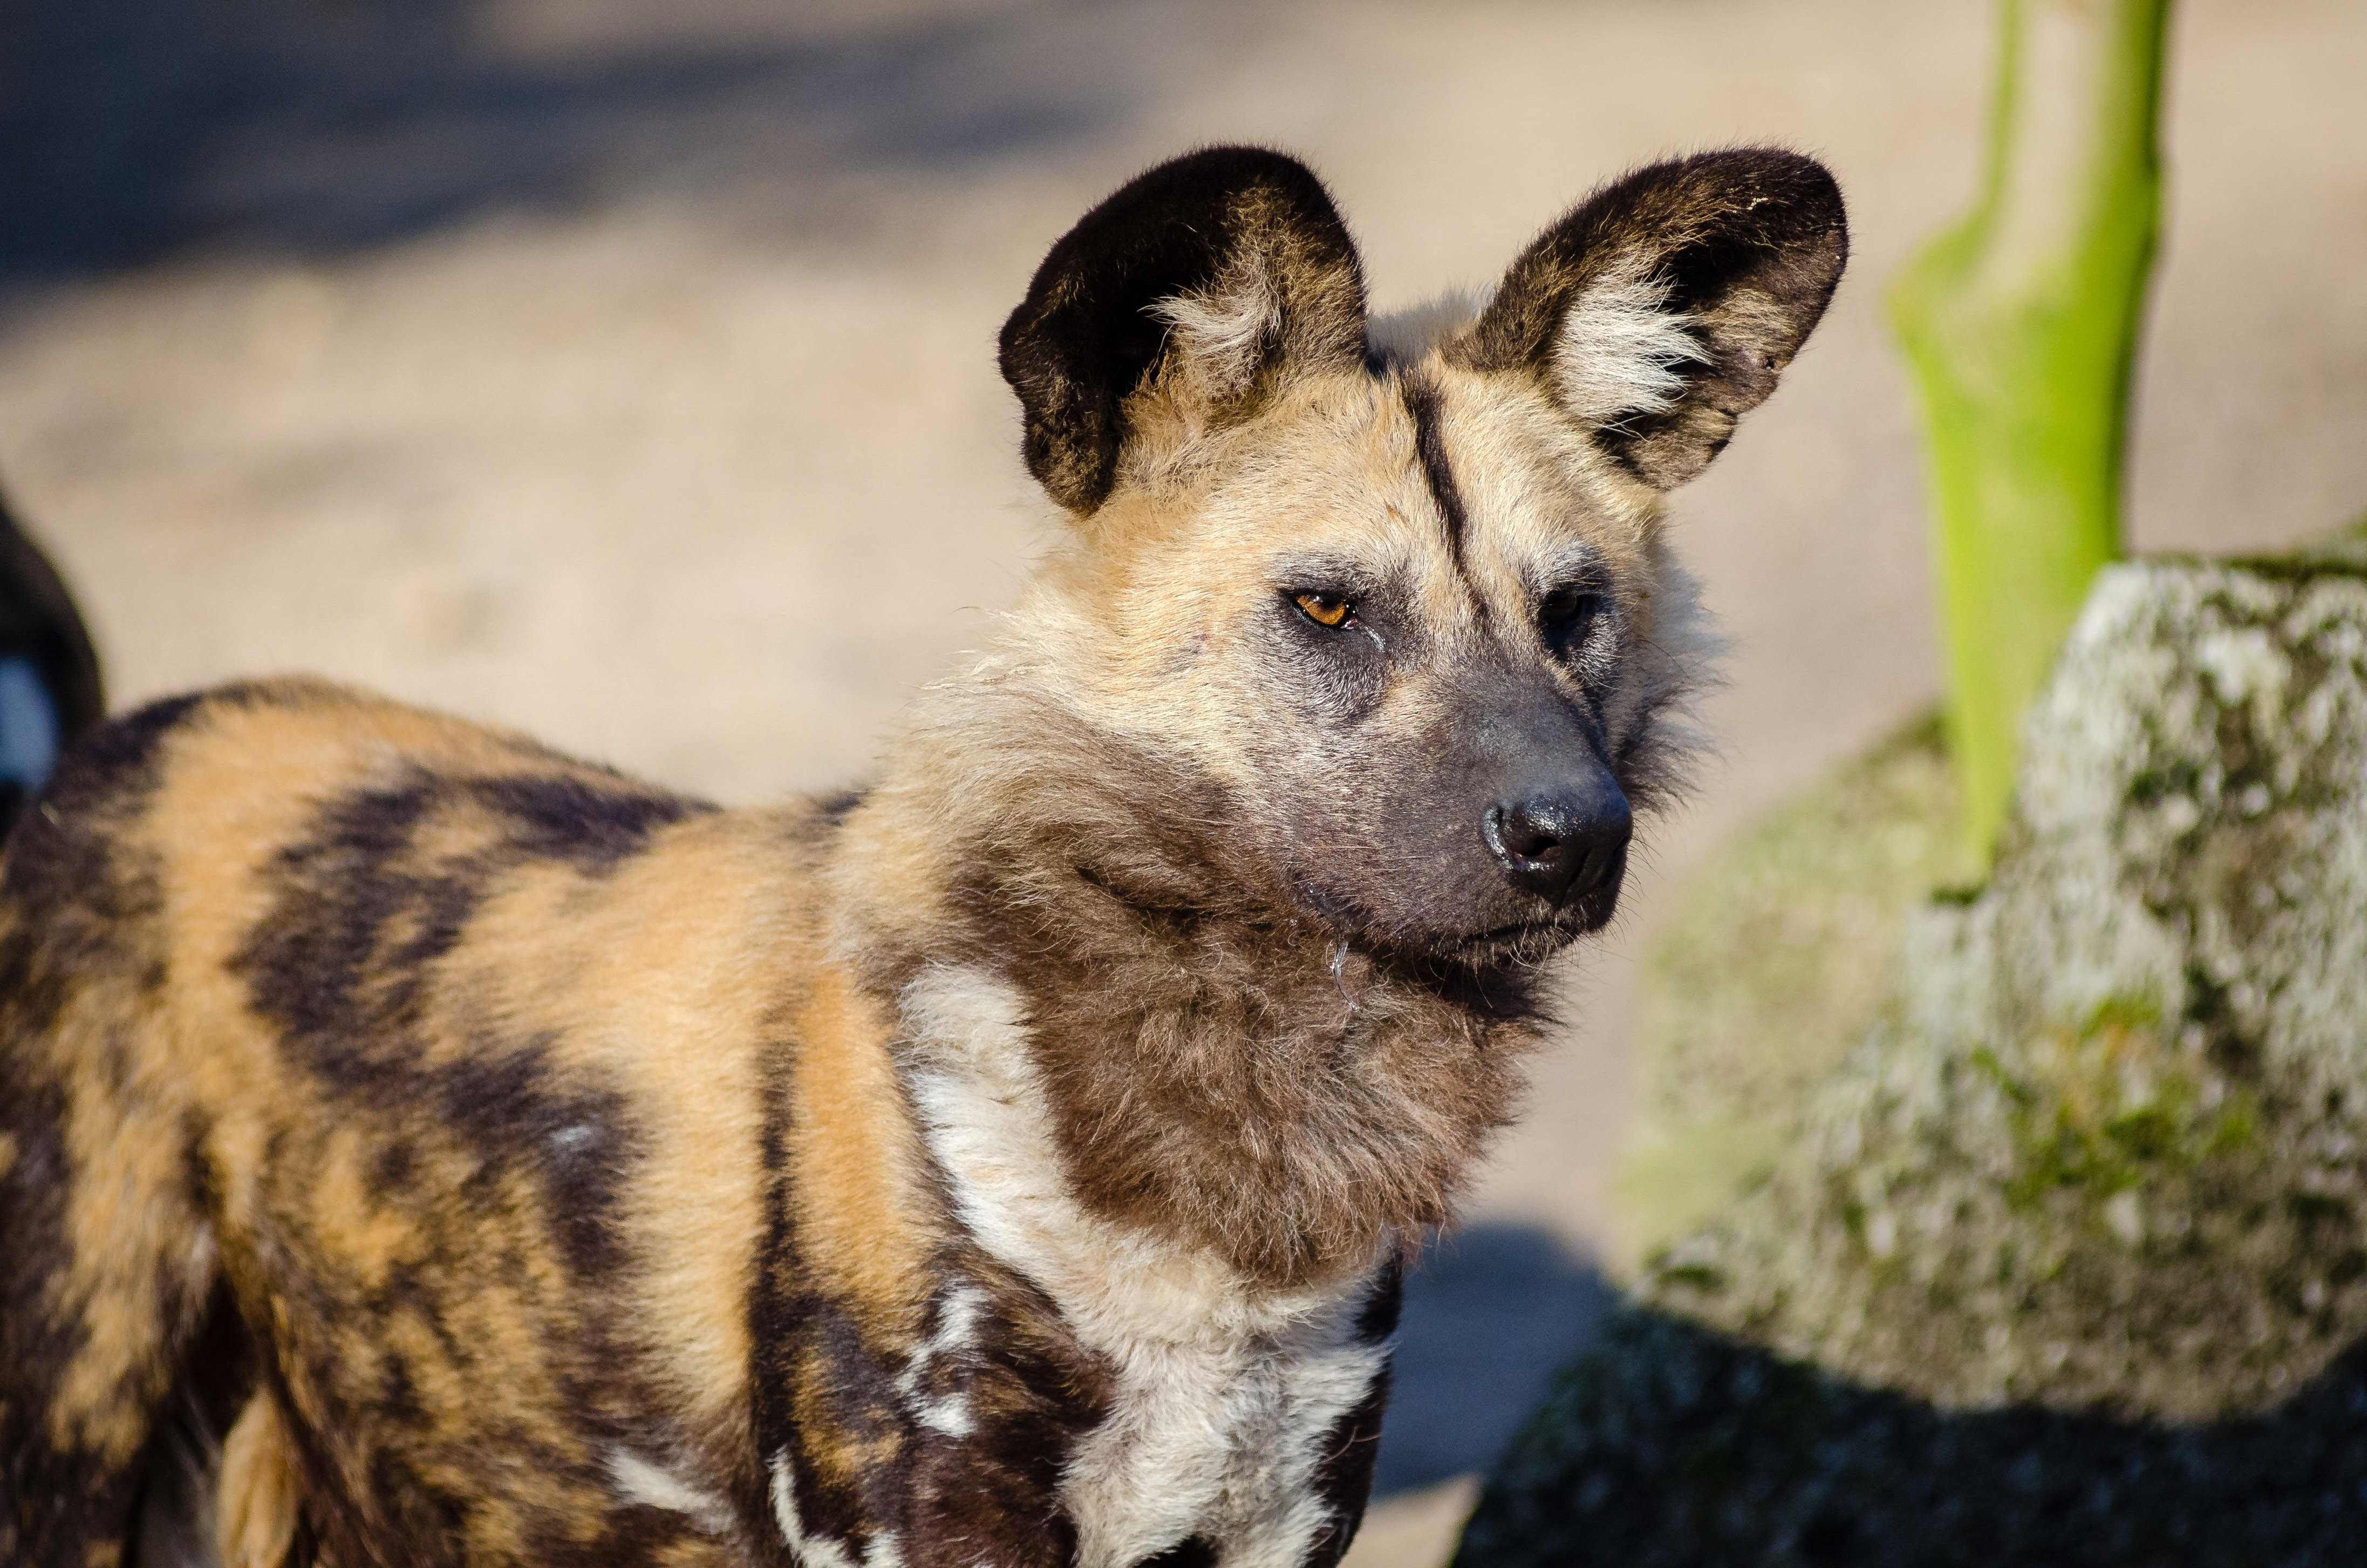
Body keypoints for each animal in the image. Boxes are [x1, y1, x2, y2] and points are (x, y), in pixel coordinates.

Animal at [0, 150, 1846, 1568]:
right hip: (70, 1458)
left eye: (1572, 612)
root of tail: (133, 736)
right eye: (1330, 609)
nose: (1571, 831)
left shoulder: (1271, 1511)